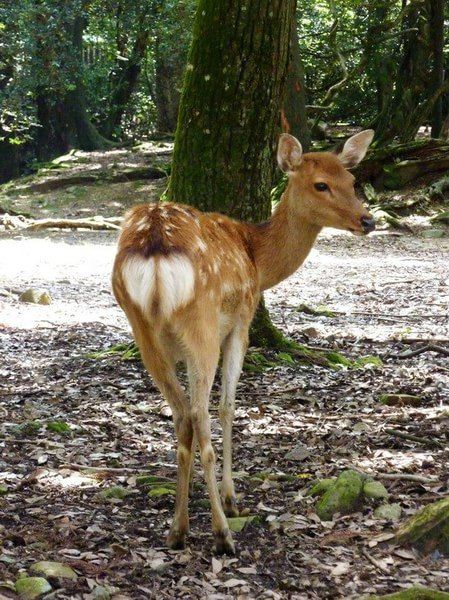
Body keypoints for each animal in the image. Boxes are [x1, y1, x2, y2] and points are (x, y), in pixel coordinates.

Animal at [111, 129, 374, 556]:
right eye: (321, 184)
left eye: (352, 181)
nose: (368, 220)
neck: (257, 258)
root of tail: (154, 250)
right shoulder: (240, 324)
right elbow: (228, 408)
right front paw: (232, 498)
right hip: (201, 326)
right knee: (200, 417)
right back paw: (222, 533)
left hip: (142, 329)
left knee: (182, 417)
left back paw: (177, 529)